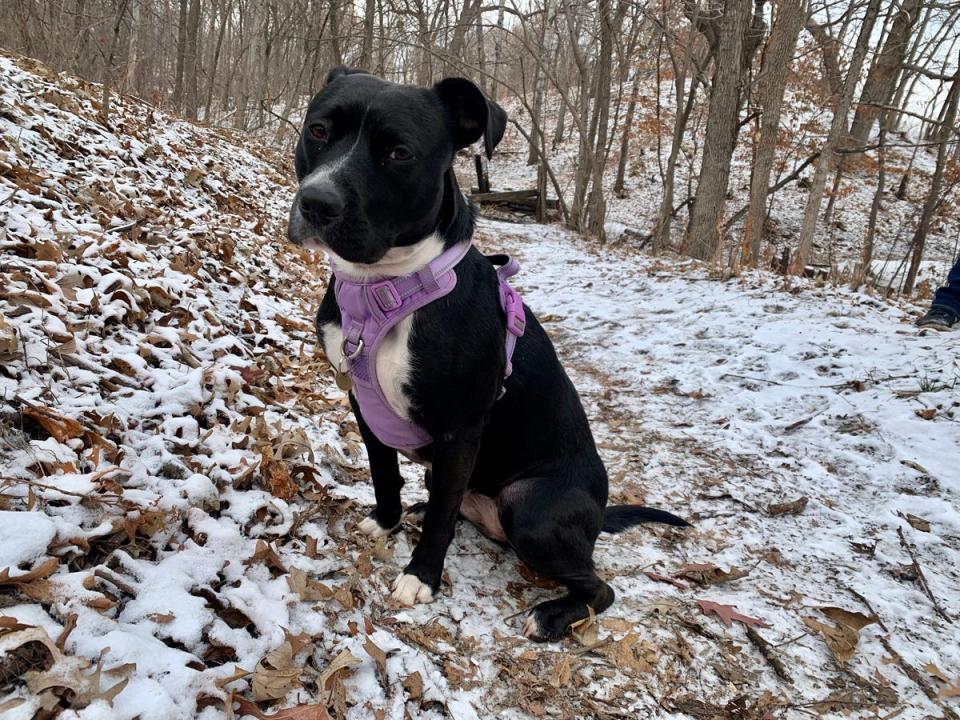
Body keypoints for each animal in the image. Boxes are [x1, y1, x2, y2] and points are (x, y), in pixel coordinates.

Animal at [284, 67, 684, 640]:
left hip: (531, 508)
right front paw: (386, 520)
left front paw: (421, 578)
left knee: (600, 588)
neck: (386, 286)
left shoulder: (460, 431)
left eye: (399, 153)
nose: (317, 202)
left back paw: (550, 615)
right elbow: (384, 474)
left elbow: (439, 521)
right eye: (318, 130)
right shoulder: (364, 406)